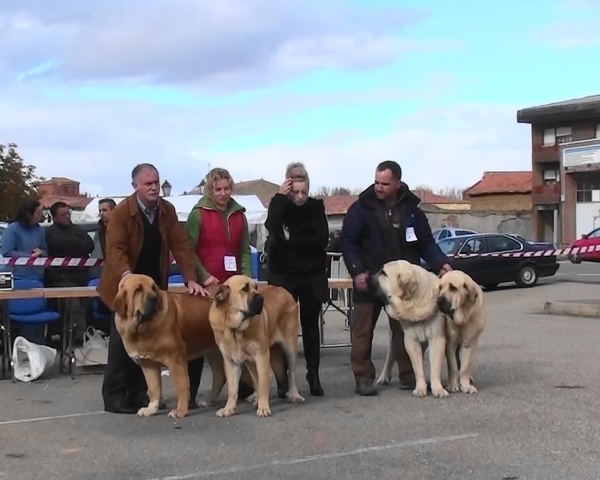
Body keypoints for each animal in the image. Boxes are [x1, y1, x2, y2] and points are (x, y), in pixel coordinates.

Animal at [113, 274, 290, 420]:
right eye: (138, 290)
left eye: (154, 288)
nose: (154, 298)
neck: (143, 328)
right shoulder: (148, 365)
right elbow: (154, 390)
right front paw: (151, 409)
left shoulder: (176, 361)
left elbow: (182, 388)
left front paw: (180, 411)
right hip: (216, 354)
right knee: (221, 375)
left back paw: (254, 397)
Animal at [210, 276, 304, 418]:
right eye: (244, 288)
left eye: (256, 287)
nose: (261, 298)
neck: (235, 329)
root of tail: (282, 289)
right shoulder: (231, 362)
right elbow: (232, 389)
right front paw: (228, 408)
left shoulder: (262, 356)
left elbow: (263, 383)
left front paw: (264, 407)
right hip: (250, 362)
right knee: (256, 379)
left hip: (290, 346)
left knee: (292, 372)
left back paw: (295, 395)